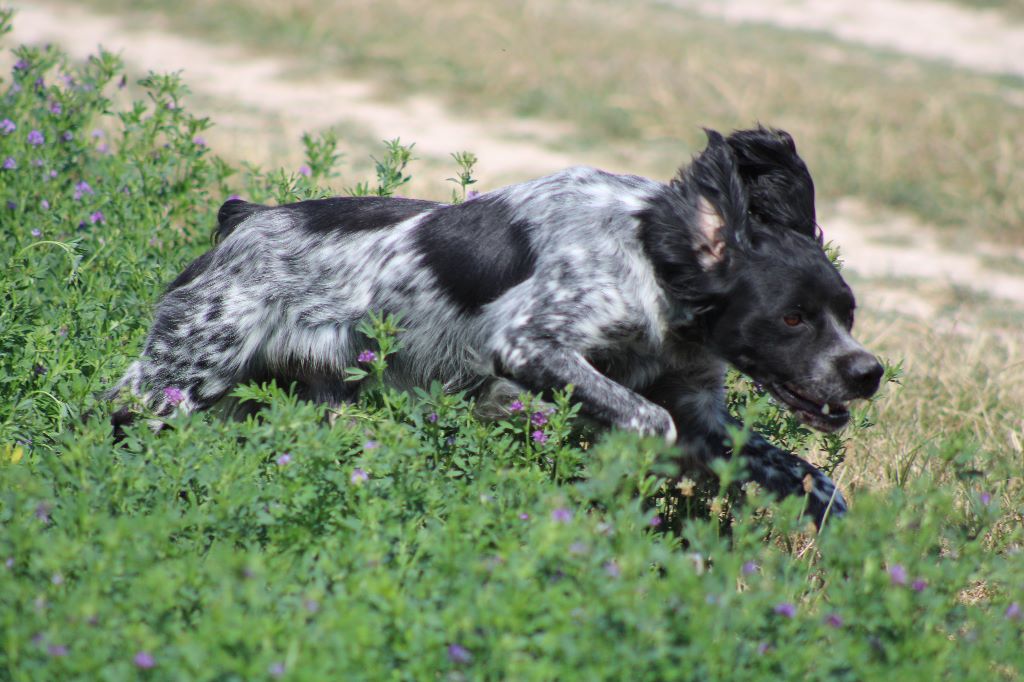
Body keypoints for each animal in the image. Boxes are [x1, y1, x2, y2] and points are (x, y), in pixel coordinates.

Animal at [110, 127, 880, 524]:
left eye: (847, 314)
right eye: (791, 317)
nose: (867, 372)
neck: (653, 257)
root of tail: (242, 219)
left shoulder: (697, 405)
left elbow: (808, 474)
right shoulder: (529, 345)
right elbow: (645, 421)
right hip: (177, 376)